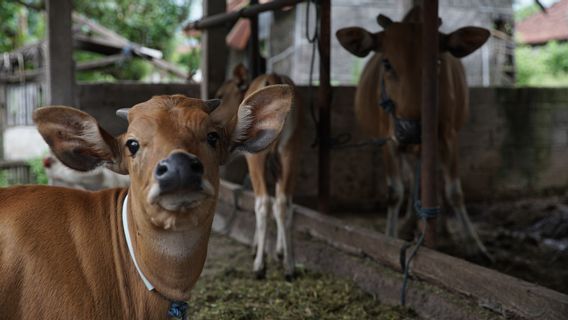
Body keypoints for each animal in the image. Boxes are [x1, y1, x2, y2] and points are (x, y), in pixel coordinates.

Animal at [215, 65, 302, 280]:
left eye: (220, 95)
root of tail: (273, 77)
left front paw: (259, 249)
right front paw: (280, 251)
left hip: (258, 156)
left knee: (263, 202)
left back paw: (259, 266)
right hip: (291, 149)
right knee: (283, 203)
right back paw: (289, 266)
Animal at [338, 6, 492, 258]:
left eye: (437, 62)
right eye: (387, 63)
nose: (411, 129)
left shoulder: (448, 137)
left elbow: (454, 191)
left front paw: (474, 244)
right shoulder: (389, 140)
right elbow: (395, 192)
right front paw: (390, 236)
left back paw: (440, 228)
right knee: (413, 179)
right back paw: (410, 222)